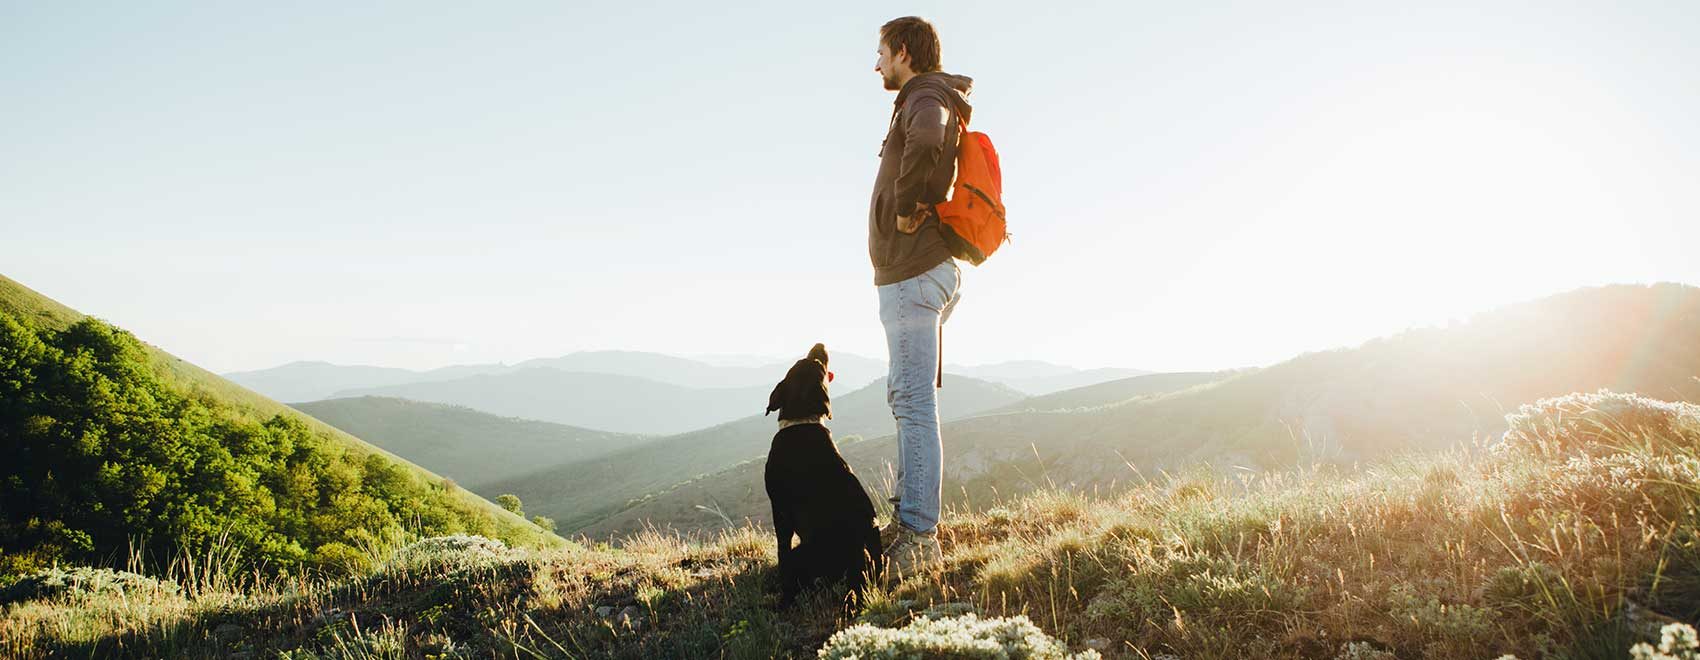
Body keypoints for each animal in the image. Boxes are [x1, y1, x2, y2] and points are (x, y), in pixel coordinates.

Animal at [765, 343, 884, 605]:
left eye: (817, 362)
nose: (820, 344)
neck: (801, 421)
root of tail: (856, 557)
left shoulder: (780, 511)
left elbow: (782, 551)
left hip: (803, 553)